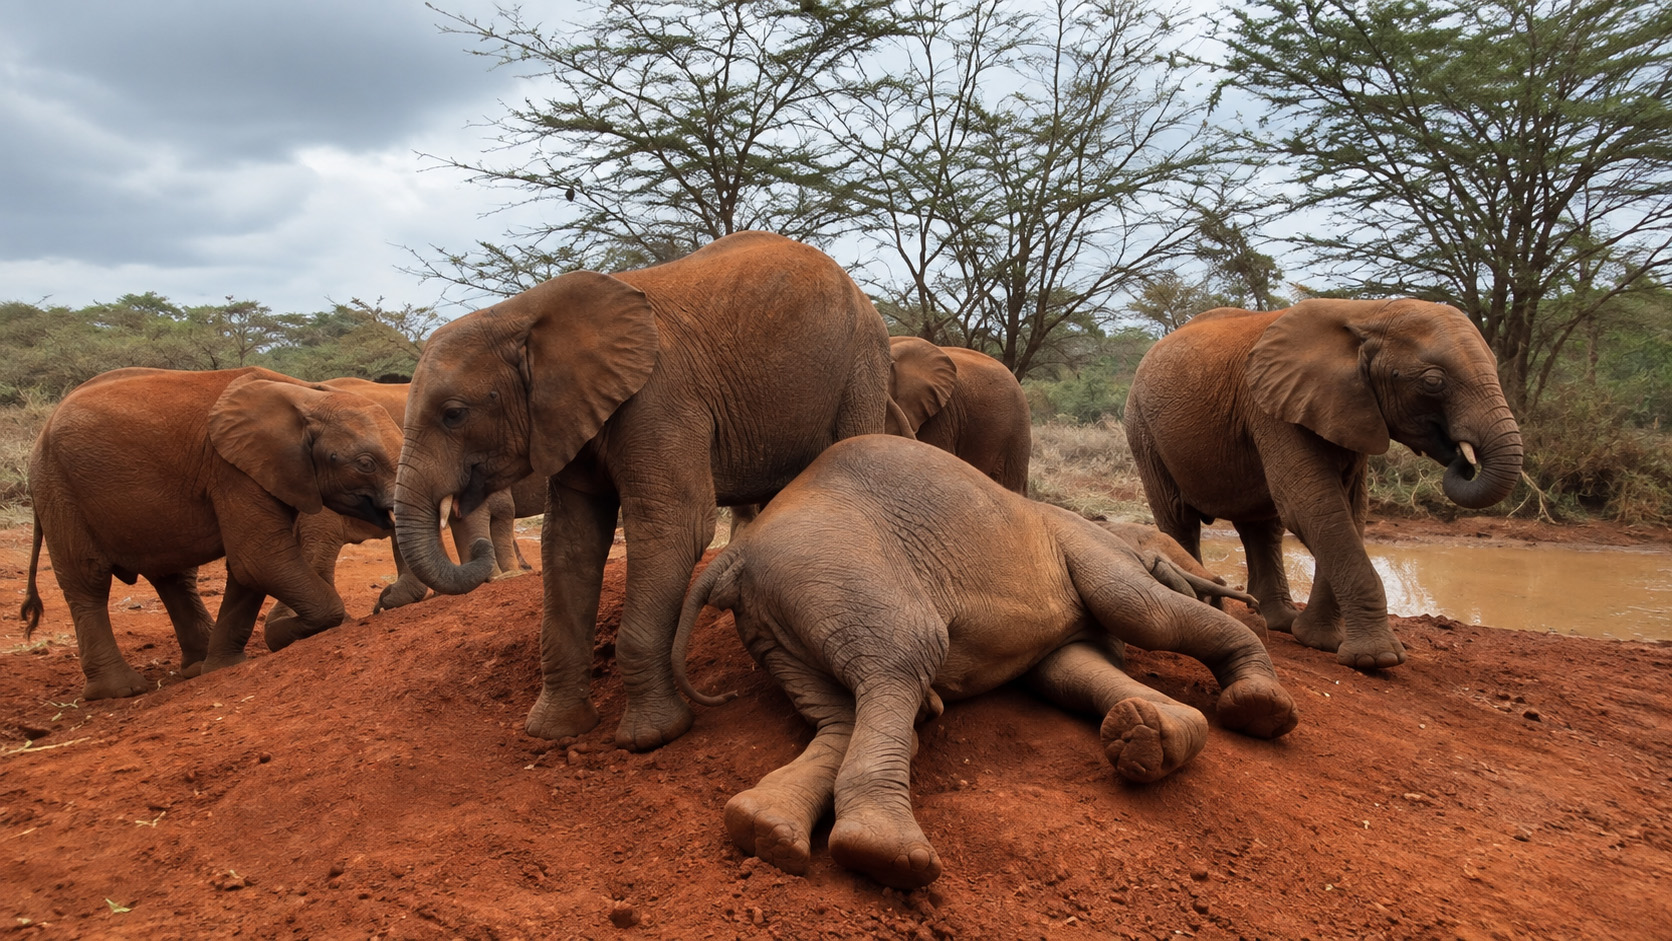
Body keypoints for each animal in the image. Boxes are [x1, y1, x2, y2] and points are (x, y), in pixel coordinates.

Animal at [20, 367, 403, 700]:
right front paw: (287, 634)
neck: (307, 395)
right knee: (88, 582)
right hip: (58, 488)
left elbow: (250, 570)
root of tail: (43, 431)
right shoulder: (233, 471)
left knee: (173, 577)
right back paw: (120, 691)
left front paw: (225, 668)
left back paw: (195, 668)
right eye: (365, 464)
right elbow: (259, 559)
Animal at [393, 230, 899, 750]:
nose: (476, 548)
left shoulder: (659, 400)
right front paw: (554, 732)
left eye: (454, 414)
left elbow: (672, 527)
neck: (519, 314)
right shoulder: (571, 418)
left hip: (861, 365)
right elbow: (570, 543)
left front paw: (652, 737)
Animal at [672, 435, 1298, 889]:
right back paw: (886, 855)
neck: (1109, 525)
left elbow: (1066, 670)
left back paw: (764, 830)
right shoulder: (1088, 545)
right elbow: (1143, 612)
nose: (1232, 595)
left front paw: (1150, 733)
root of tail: (734, 554)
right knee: (903, 660)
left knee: (844, 710)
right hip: (839, 565)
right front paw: (1259, 711)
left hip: (777, 621)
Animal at [1123, 298, 1524, 670]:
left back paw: (1279, 622)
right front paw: (1375, 660)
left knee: (1262, 526)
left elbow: (1348, 509)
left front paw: (1319, 642)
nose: (1462, 459)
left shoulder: (1346, 408)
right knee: (1179, 517)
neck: (1367, 312)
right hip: (1142, 427)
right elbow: (1312, 506)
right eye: (1432, 382)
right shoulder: (1273, 410)